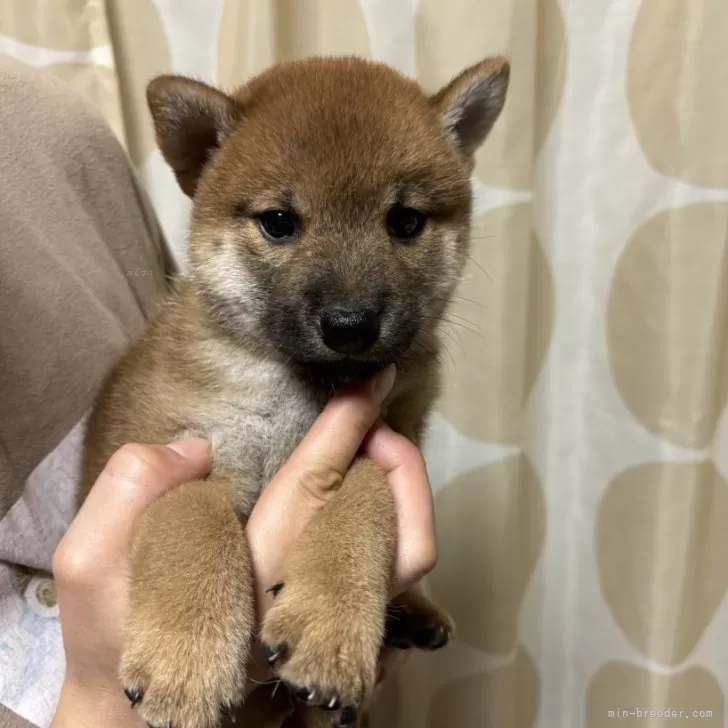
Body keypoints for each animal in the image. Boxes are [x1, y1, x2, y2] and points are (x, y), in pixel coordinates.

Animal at [82, 52, 510, 728]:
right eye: (279, 223)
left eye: (406, 221)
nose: (350, 324)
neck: (297, 391)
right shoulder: (173, 452)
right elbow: (194, 527)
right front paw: (188, 660)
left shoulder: (381, 436)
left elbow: (365, 495)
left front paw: (332, 621)